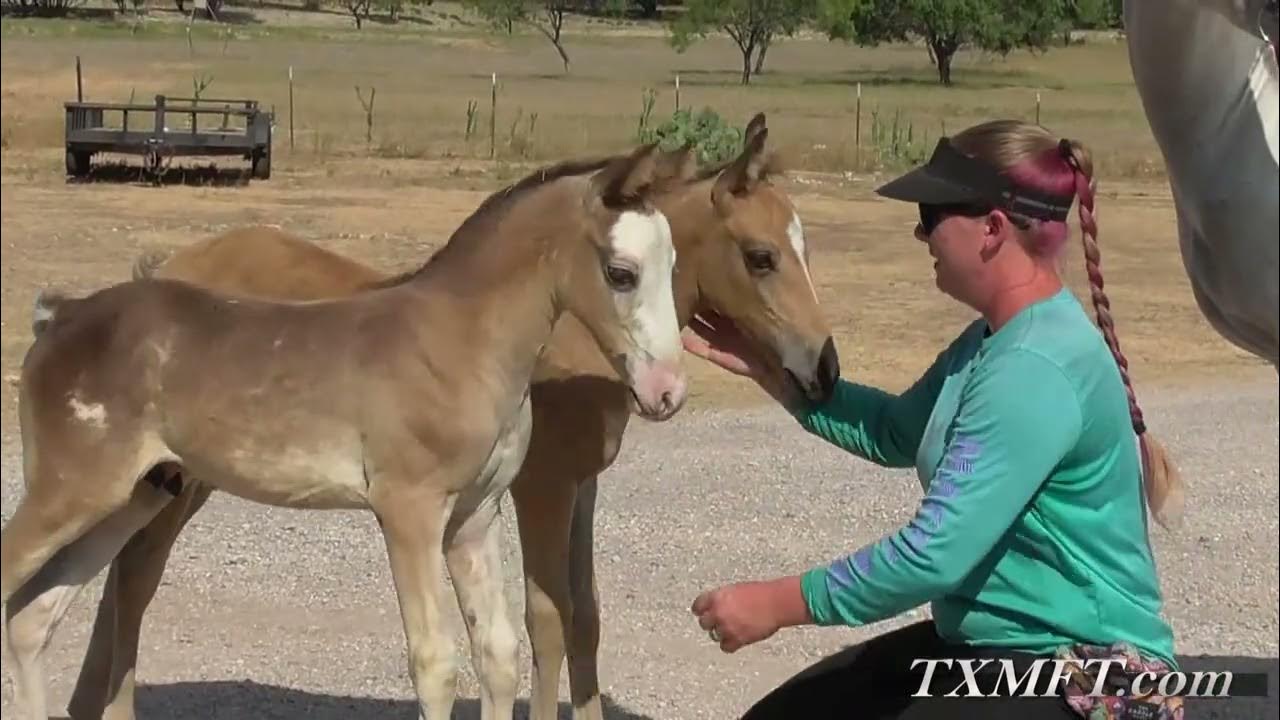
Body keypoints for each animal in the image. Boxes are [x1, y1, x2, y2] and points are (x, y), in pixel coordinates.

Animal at [62, 114, 838, 720]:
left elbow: (584, 619)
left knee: (120, 577)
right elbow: (546, 619)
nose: (825, 370)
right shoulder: (540, 490)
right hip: (182, 483)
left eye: (804, 246)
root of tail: (165, 265)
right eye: (761, 256)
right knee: (133, 582)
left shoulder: (577, 488)